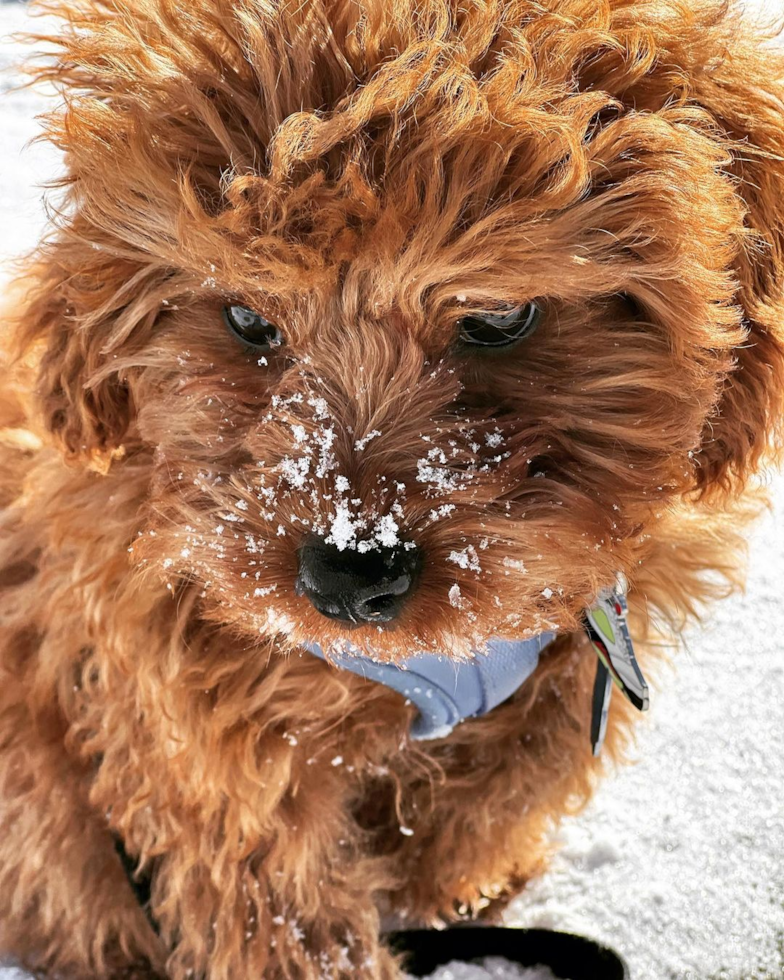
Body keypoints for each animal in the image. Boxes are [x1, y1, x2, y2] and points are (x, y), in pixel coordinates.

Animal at [1, 0, 784, 976]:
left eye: (499, 316)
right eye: (247, 317)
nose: (346, 576)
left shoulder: (573, 660)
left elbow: (514, 778)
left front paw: (453, 888)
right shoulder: (199, 726)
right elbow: (279, 902)